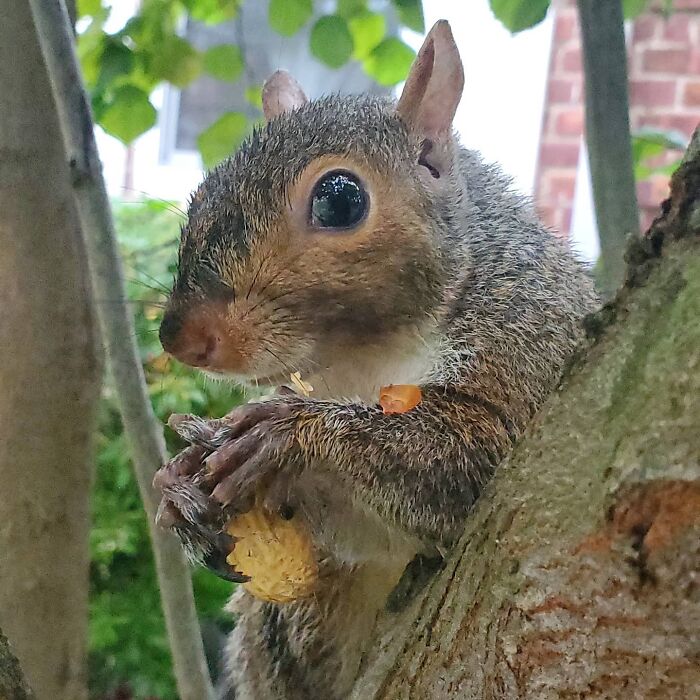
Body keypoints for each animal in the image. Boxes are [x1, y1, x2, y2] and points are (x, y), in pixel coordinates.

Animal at [153, 20, 598, 700]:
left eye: (340, 200)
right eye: (201, 190)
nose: (179, 336)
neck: (363, 360)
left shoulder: (532, 344)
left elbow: (475, 458)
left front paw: (287, 433)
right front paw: (177, 487)